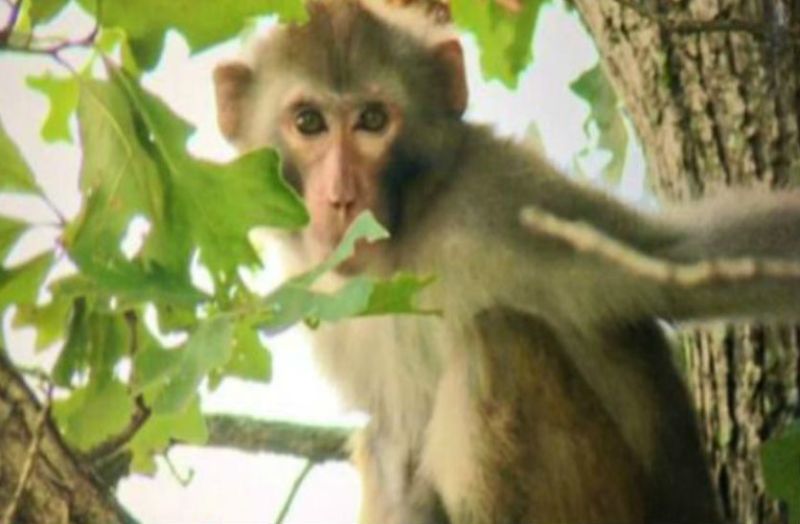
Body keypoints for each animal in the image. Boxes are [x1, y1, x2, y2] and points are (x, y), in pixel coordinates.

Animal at [212, 1, 800, 522]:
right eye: (308, 122)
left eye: (372, 120)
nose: (341, 197)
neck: (407, 245)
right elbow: (393, 440)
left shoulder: (500, 198)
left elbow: (684, 257)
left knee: (496, 342)